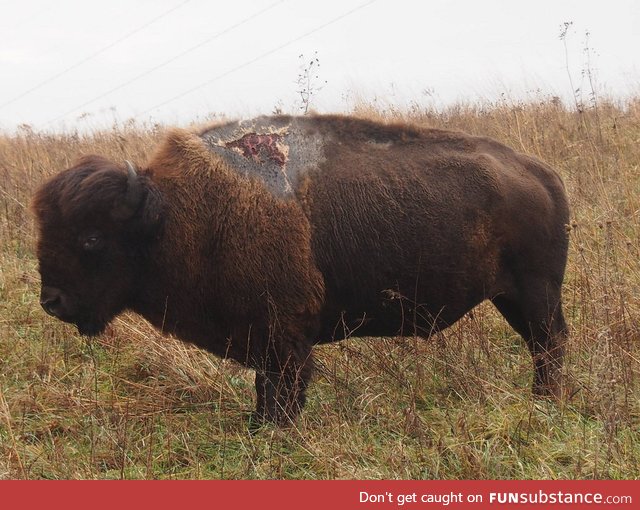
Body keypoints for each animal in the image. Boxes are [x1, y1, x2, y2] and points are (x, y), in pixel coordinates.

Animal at [32, 113, 568, 424]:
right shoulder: (264, 338)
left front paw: (276, 429)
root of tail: (540, 173)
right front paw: (258, 426)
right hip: (511, 298)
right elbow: (264, 389)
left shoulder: (283, 338)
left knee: (550, 343)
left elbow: (283, 389)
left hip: (535, 293)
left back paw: (544, 403)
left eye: (92, 237)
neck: (171, 214)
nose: (51, 301)